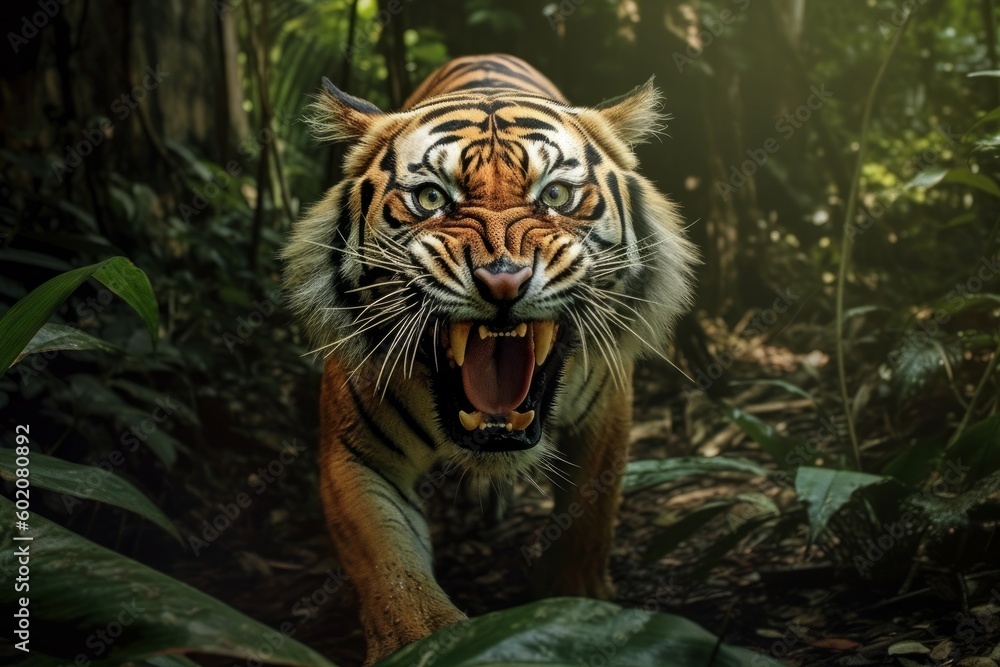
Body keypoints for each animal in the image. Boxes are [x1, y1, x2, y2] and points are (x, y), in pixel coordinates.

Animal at [281, 54, 697, 665]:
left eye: (556, 196)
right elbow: (390, 570)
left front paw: (582, 607)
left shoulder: (605, 417)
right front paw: (425, 643)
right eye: (432, 199)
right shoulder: (356, 455)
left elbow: (588, 522)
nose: (504, 281)